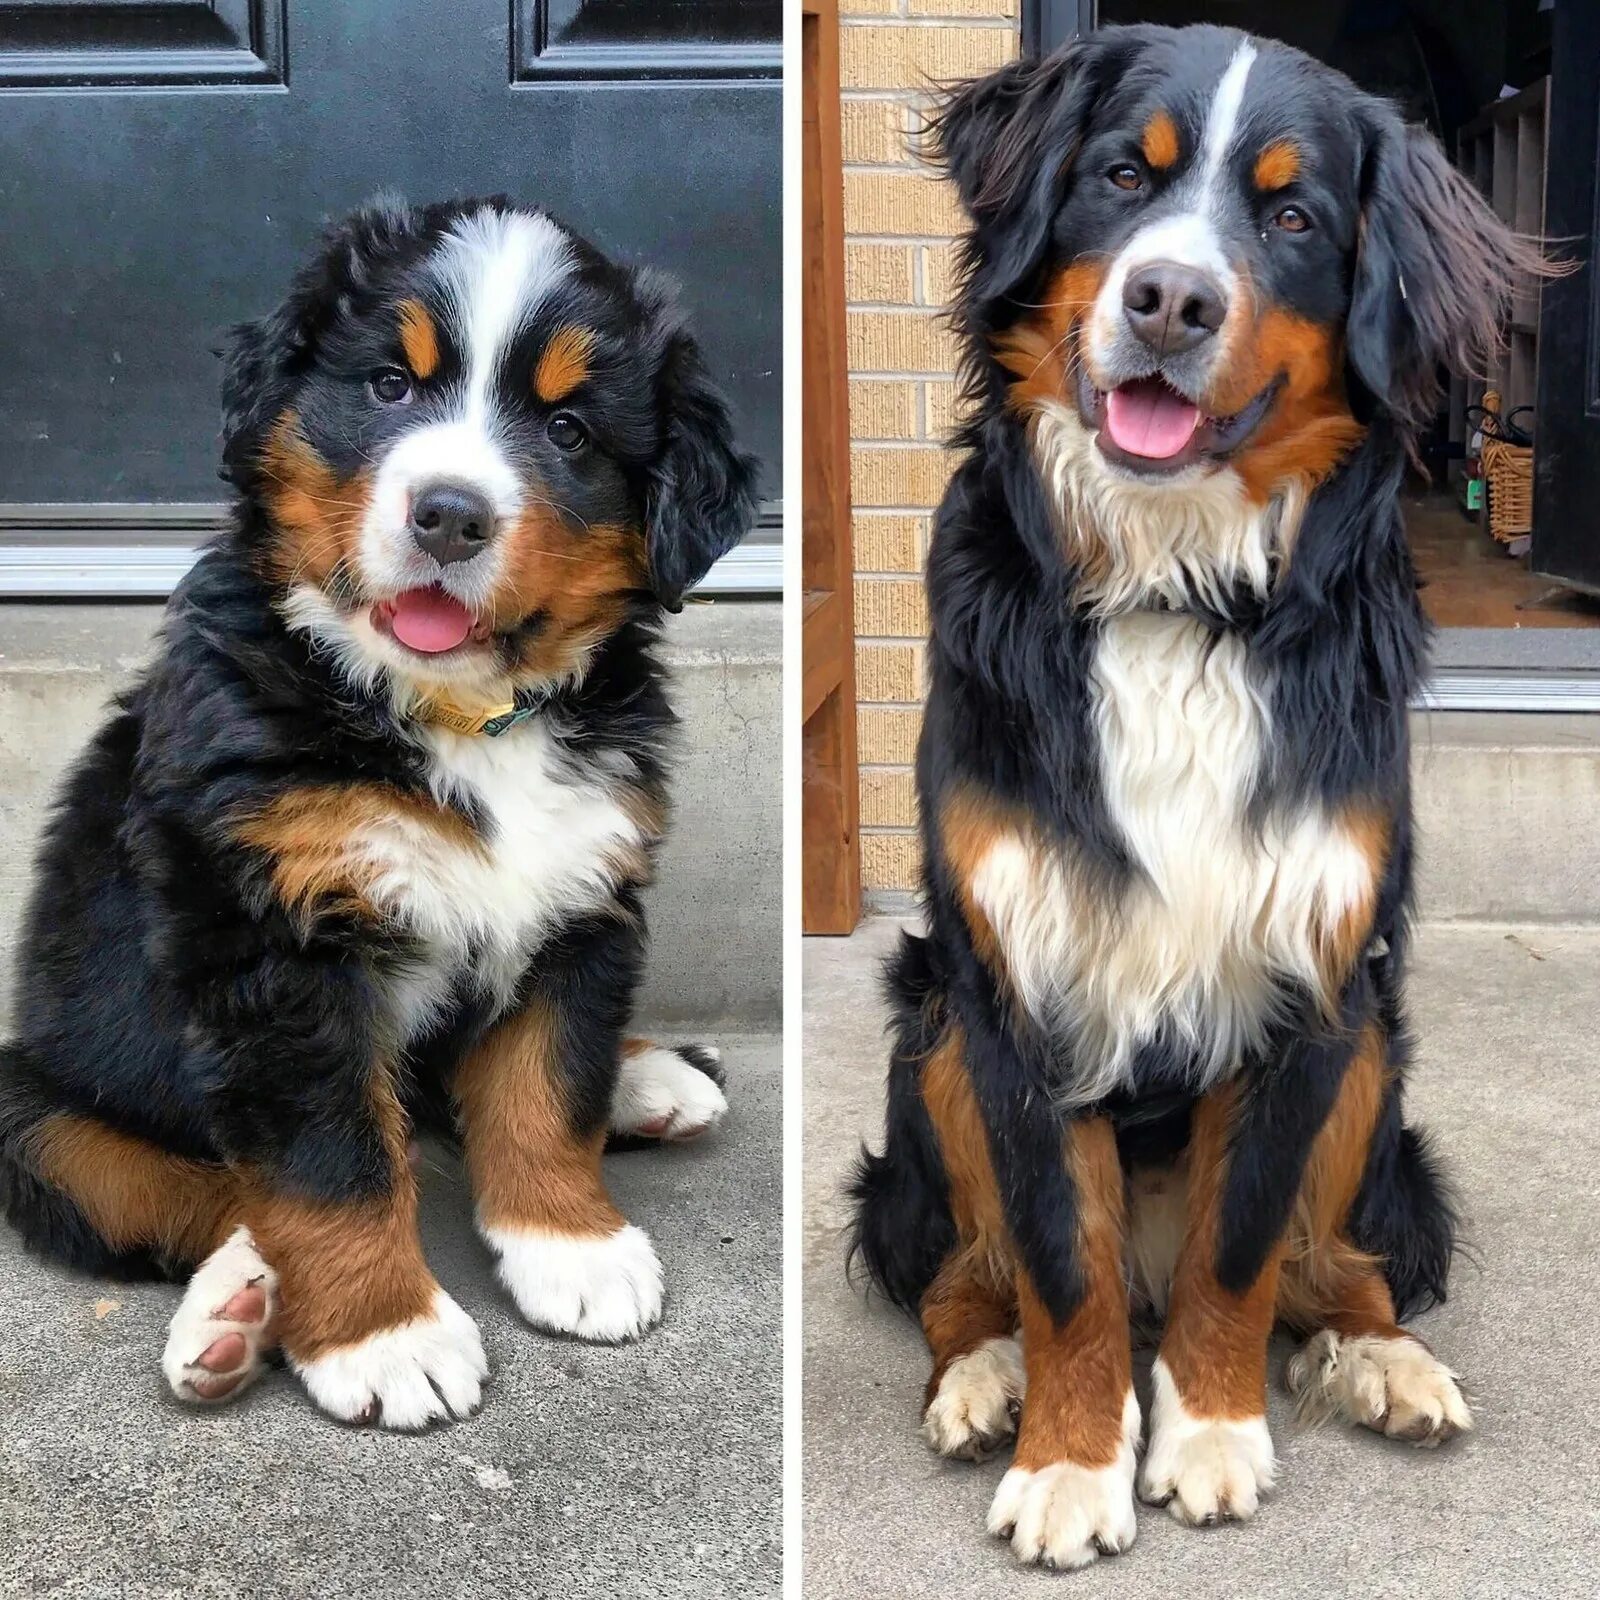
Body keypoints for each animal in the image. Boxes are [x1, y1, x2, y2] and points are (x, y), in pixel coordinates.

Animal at [0, 193, 755, 1433]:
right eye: (391, 387)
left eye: (568, 431)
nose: (449, 515)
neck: (459, 714)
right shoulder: (274, 945)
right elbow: (333, 1163)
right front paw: (385, 1335)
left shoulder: (581, 895)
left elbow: (546, 1082)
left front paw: (571, 1245)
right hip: (41, 1109)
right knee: (199, 1190)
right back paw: (237, 1307)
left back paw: (649, 1078)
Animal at [851, 25, 1536, 1568]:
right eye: (1122, 177)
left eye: (1292, 219)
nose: (1170, 298)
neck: (1173, 594)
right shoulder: (1015, 984)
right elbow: (1062, 1262)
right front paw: (1070, 1460)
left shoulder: (1309, 979)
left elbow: (1237, 1255)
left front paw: (1211, 1434)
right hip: (930, 1036)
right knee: (963, 1276)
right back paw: (982, 1375)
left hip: (1373, 1046)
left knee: (1330, 1264)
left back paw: (1382, 1357)